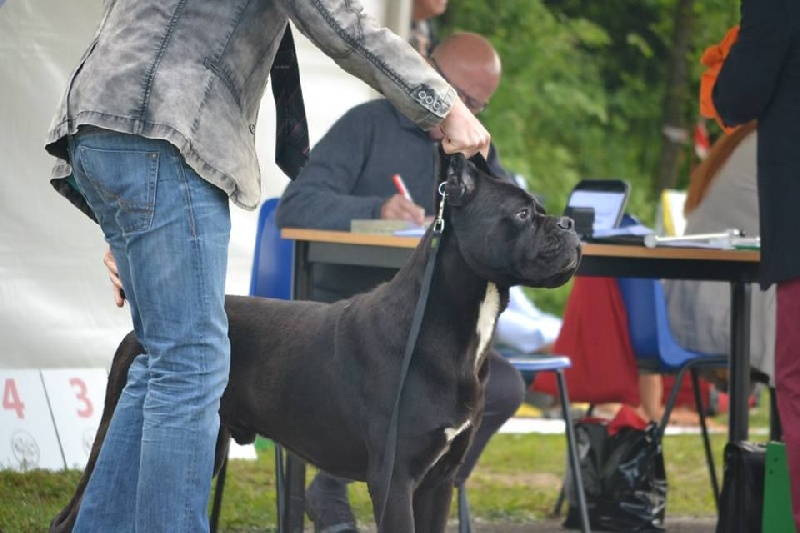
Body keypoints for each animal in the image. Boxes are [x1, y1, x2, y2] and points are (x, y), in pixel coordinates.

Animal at [51, 152, 580, 528]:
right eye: (522, 214)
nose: (571, 224)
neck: (461, 327)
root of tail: (138, 332)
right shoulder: (396, 480)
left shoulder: (440, 481)